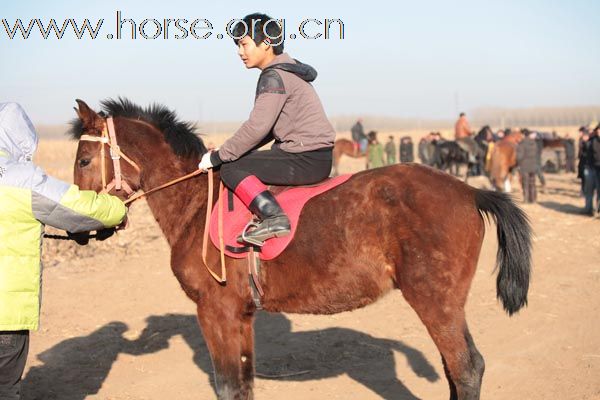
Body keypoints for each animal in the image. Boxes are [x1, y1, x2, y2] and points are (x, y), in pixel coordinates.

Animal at [68, 97, 532, 400]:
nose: (79, 233)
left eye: (85, 161)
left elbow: (228, 386)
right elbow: (243, 384)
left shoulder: (216, 312)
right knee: (456, 369)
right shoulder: (239, 316)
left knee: (466, 368)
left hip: (435, 299)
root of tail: (469, 190)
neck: (198, 204)